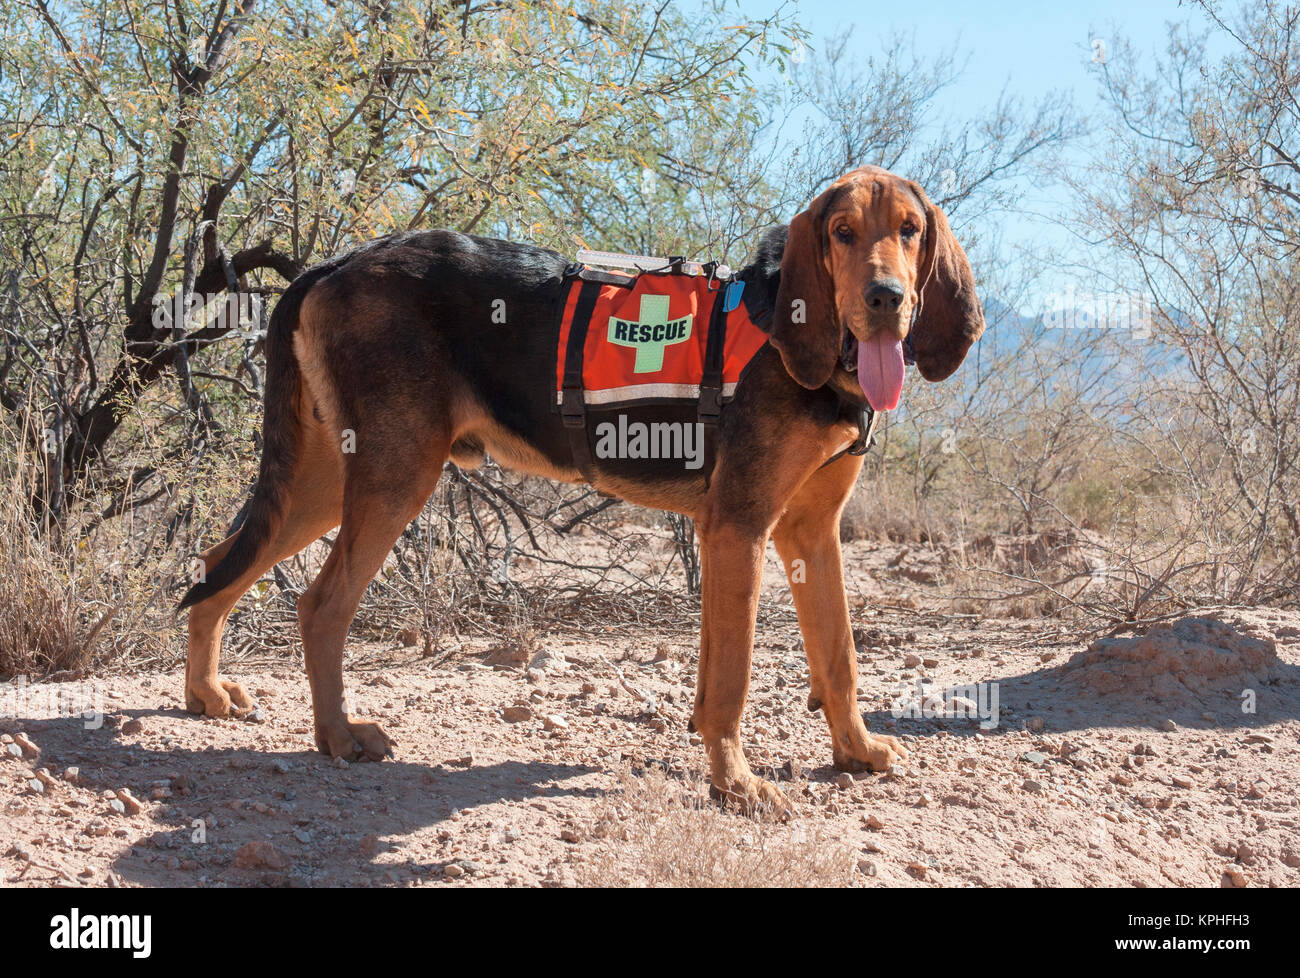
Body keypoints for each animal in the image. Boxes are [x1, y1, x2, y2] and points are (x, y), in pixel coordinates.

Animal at [178, 166, 977, 811]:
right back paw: (339, 735)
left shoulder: (808, 532)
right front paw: (737, 784)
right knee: (321, 603)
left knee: (219, 561)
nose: (886, 298)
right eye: (842, 233)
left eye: (910, 232)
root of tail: (333, 263)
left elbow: (836, 656)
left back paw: (207, 695)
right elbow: (734, 680)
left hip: (323, 478)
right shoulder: (741, 526)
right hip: (395, 474)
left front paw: (855, 751)